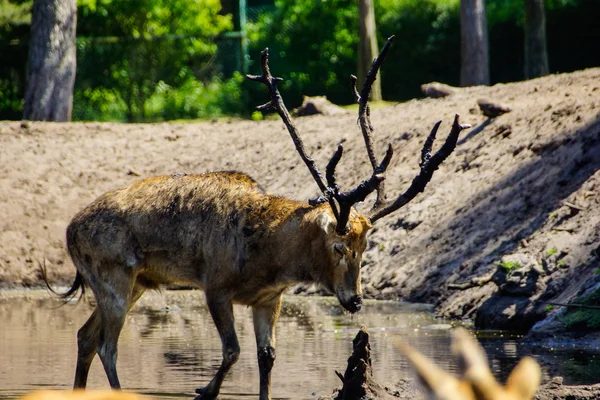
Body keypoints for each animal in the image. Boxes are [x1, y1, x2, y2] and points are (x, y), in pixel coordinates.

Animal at [47, 36, 472, 398]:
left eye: (366, 248)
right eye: (338, 246)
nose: (354, 301)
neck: (268, 258)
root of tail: (69, 230)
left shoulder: (269, 299)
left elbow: (266, 358)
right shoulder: (215, 285)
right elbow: (232, 351)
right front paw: (204, 389)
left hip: (136, 281)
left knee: (85, 336)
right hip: (113, 274)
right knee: (107, 344)